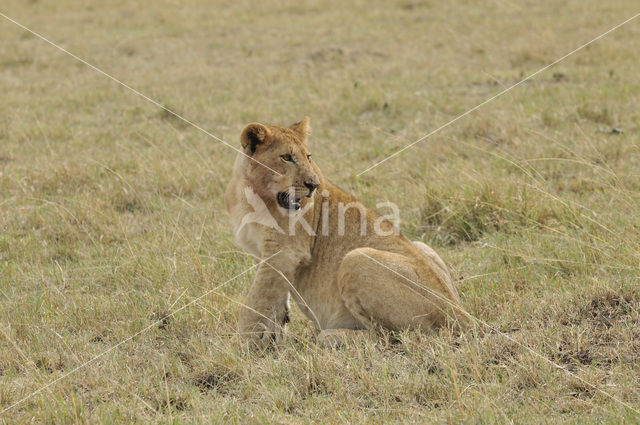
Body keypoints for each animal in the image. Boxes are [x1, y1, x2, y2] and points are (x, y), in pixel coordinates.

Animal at [225, 117, 470, 346]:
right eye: (286, 157)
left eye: (308, 156)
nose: (313, 185)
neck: (249, 193)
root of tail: (461, 313)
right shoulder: (265, 254)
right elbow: (273, 300)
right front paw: (270, 337)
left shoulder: (285, 252)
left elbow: (256, 300)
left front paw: (242, 346)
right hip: (422, 247)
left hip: (356, 258)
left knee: (392, 336)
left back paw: (331, 336)